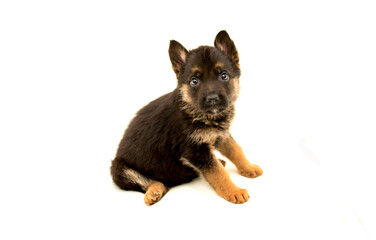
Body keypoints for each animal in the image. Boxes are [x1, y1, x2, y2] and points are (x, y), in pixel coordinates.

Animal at [110, 30, 262, 205]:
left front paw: (248, 167)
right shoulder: (195, 150)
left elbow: (236, 149)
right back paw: (154, 192)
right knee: (151, 182)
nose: (212, 99)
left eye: (223, 76)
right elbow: (217, 173)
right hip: (119, 169)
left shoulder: (220, 135)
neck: (196, 111)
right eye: (194, 81)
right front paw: (233, 191)